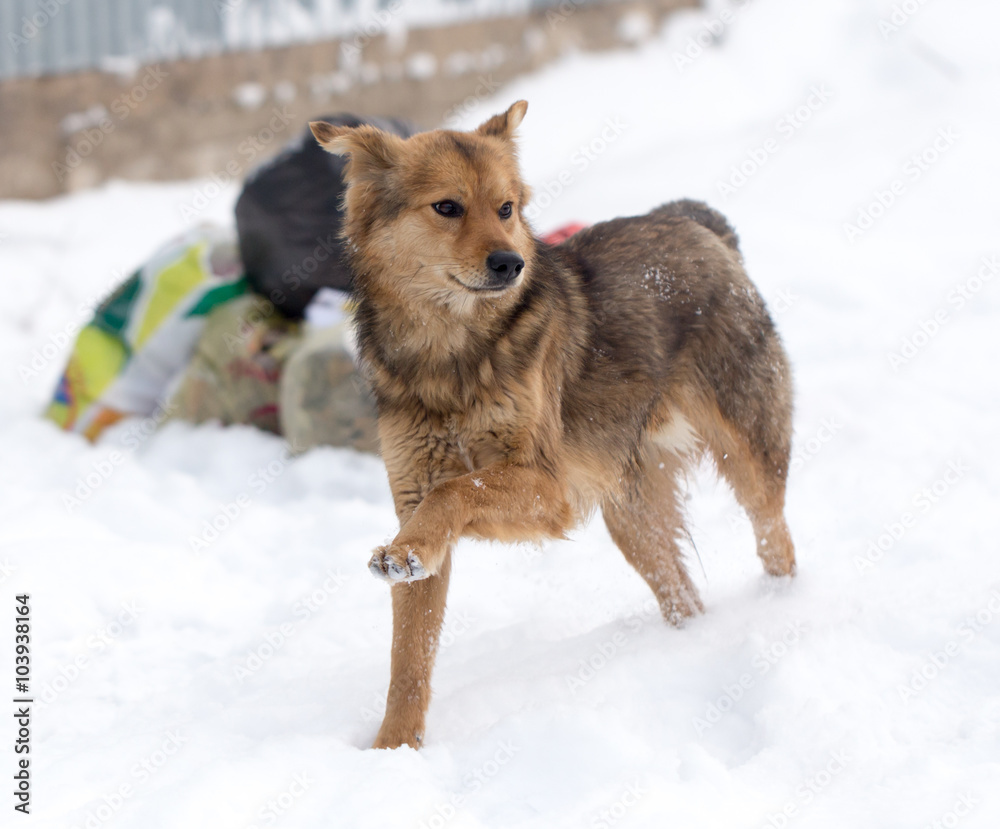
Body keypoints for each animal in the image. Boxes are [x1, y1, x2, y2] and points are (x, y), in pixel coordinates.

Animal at [310, 100, 796, 748]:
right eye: (447, 207)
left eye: (506, 208)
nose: (511, 263)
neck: (451, 355)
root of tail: (692, 222)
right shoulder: (413, 492)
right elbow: (408, 660)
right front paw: (393, 749)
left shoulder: (547, 488)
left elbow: (458, 489)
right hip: (631, 515)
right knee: (681, 592)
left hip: (748, 455)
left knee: (774, 537)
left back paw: (780, 609)